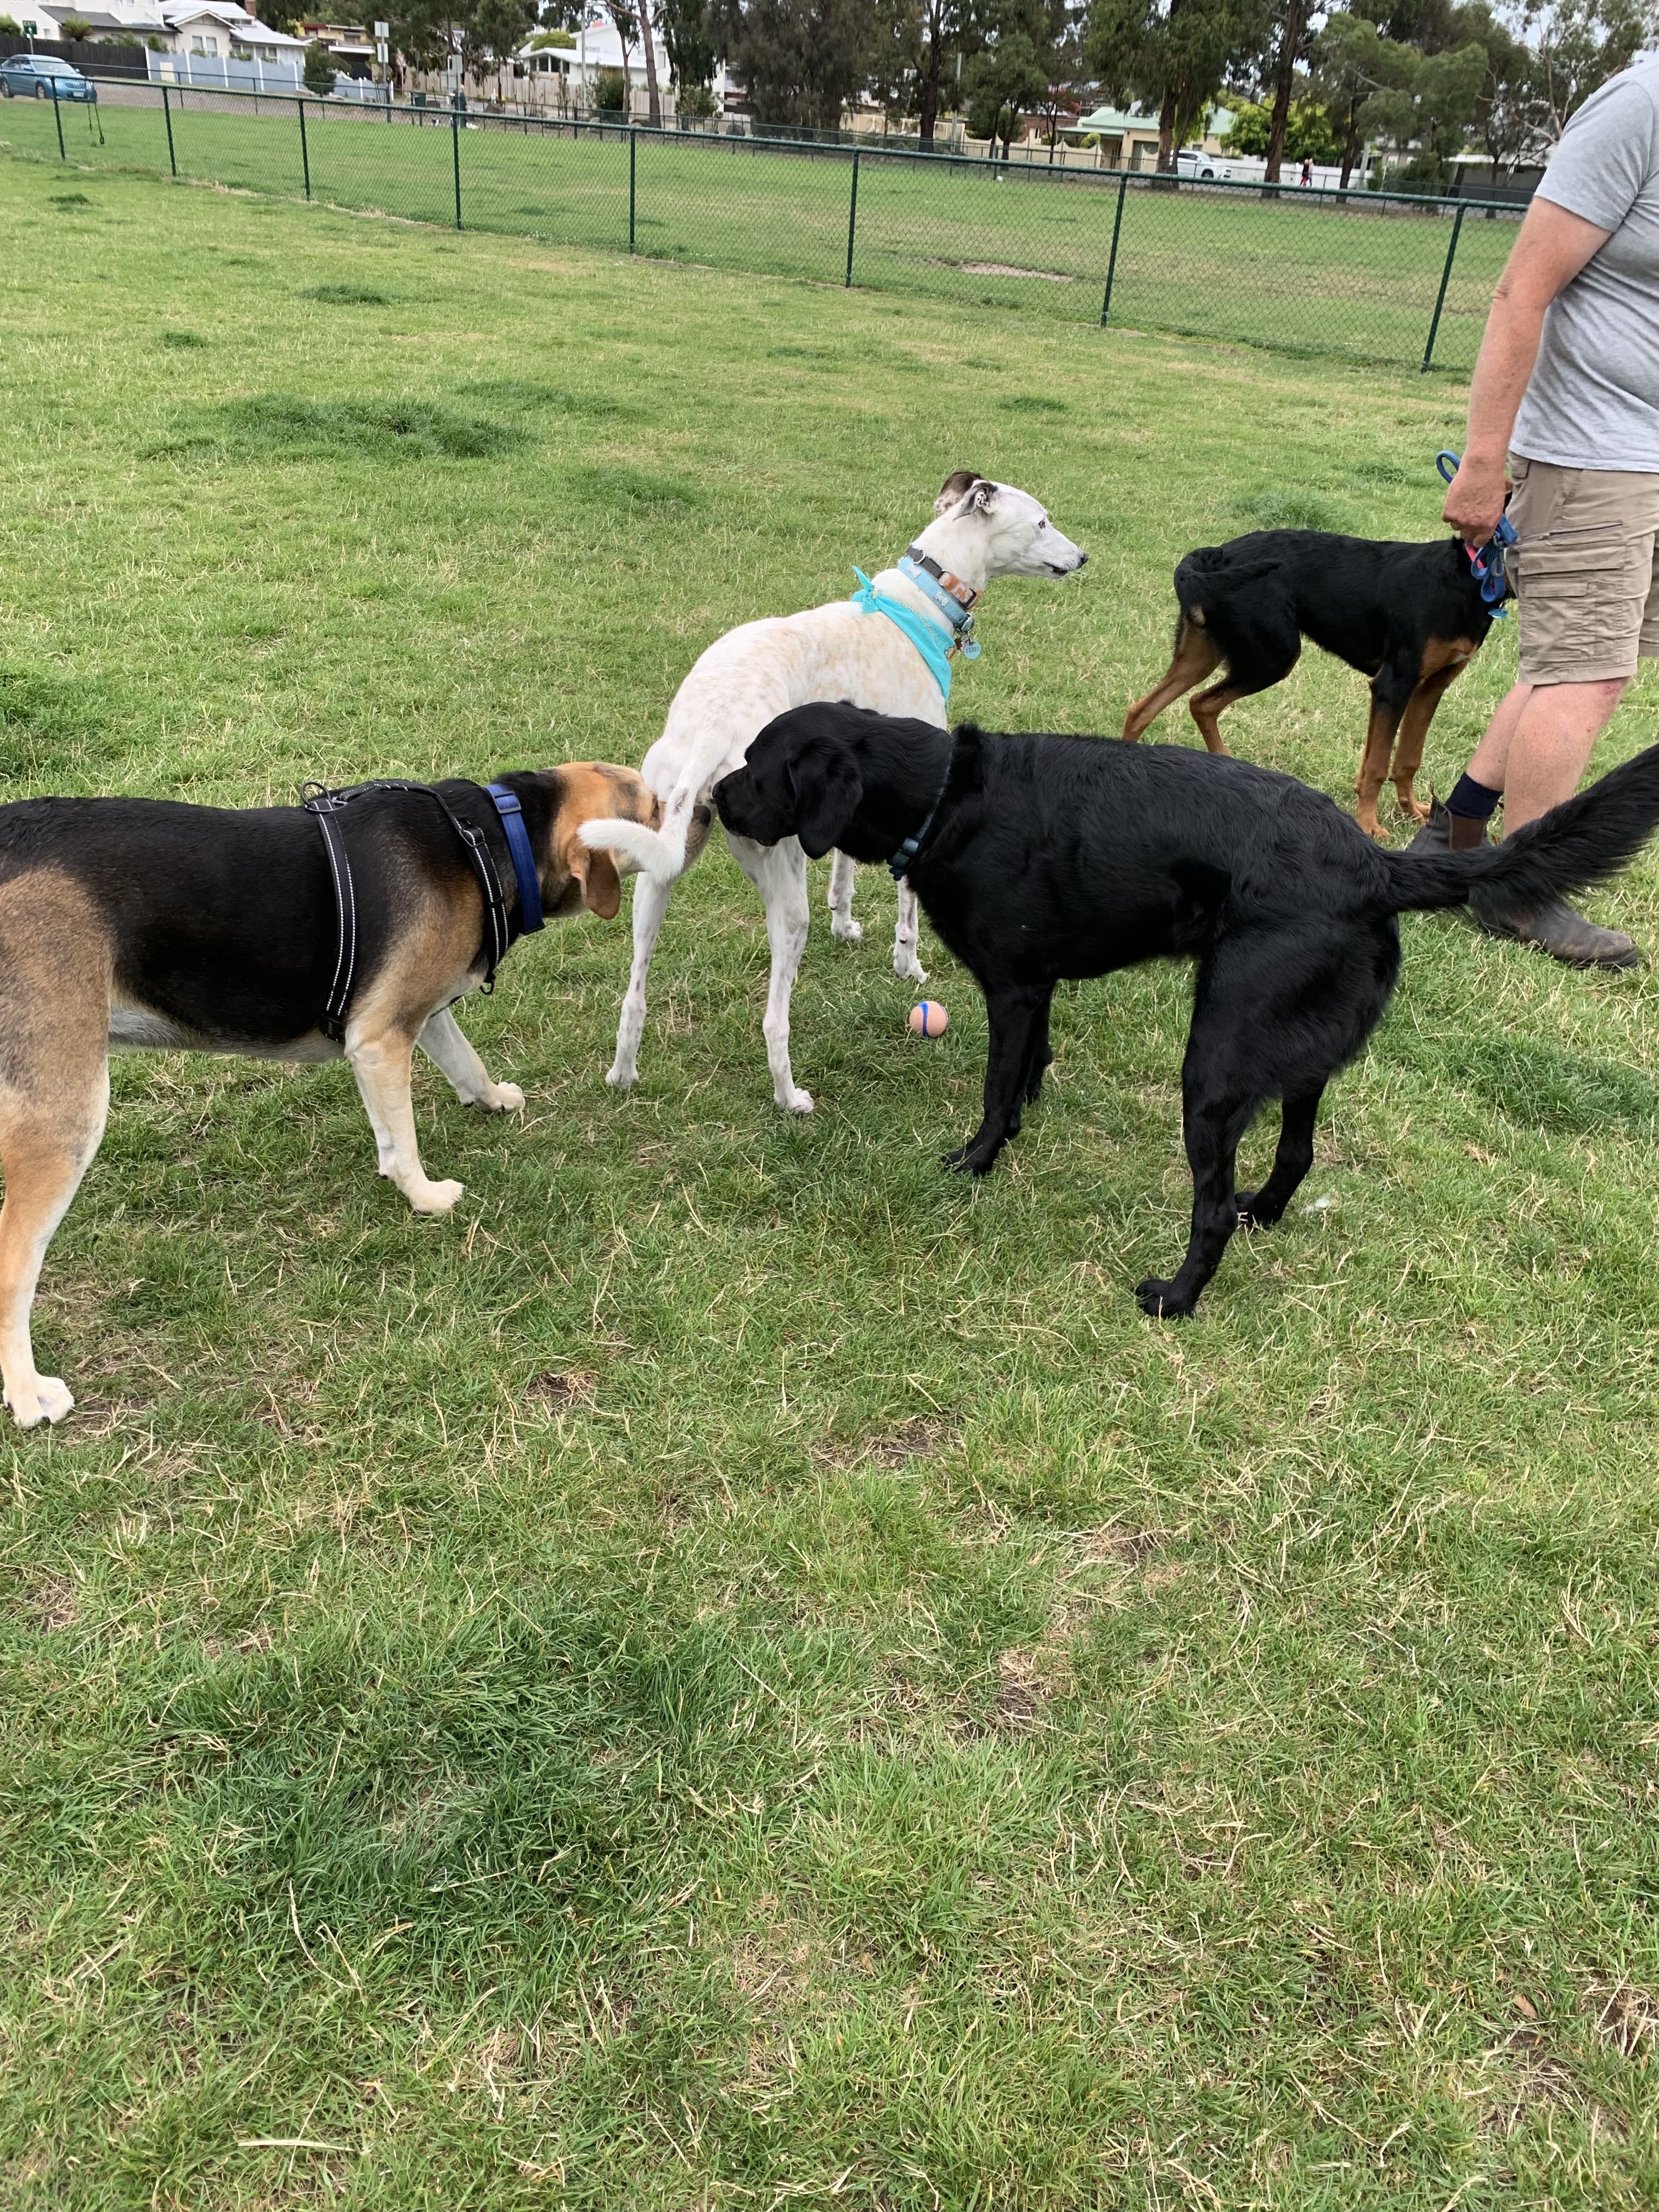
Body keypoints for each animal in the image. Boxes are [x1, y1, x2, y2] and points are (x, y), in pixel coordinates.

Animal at [0, 765, 659, 1433]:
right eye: (656, 807)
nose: (692, 818)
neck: (493, 832)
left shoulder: (419, 1014)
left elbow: (463, 1062)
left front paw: (493, 1097)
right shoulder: (380, 1040)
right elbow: (402, 1144)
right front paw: (426, 1197)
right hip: (66, 1112)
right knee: (14, 1267)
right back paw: (29, 1394)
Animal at [579, 473, 1092, 1115]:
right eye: (1043, 521)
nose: (1083, 557)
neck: (919, 602)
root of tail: (713, 726)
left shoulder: (850, 799)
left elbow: (844, 868)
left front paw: (845, 923)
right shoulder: (920, 806)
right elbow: (907, 908)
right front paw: (908, 965)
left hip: (662, 864)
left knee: (634, 994)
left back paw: (622, 1074)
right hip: (777, 877)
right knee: (773, 1016)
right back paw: (789, 1097)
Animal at [1124, 533, 1504, 836]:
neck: (1464, 576)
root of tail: (1220, 554)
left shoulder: (1430, 689)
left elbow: (1406, 760)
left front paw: (1412, 813)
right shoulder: (1393, 686)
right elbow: (1377, 767)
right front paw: (1370, 826)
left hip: (1202, 657)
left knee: (1145, 710)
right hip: (1272, 658)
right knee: (1200, 703)